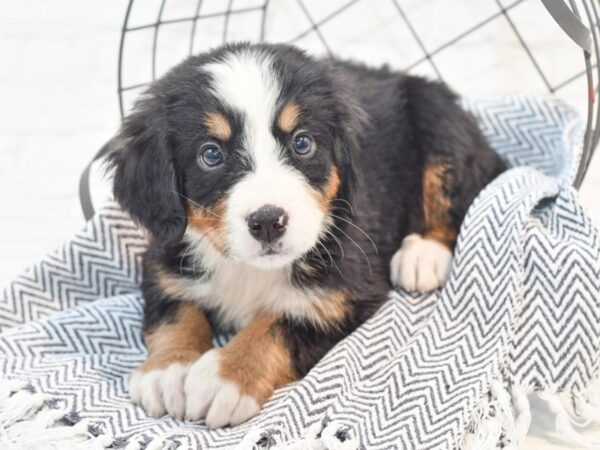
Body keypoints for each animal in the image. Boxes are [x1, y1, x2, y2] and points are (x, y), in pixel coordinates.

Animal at [109, 42, 506, 428]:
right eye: (211, 154)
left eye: (302, 143)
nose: (268, 221)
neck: (251, 269)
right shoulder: (164, 259)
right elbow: (176, 313)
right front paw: (168, 370)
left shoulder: (346, 292)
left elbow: (279, 325)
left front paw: (225, 376)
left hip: (440, 123)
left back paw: (423, 255)